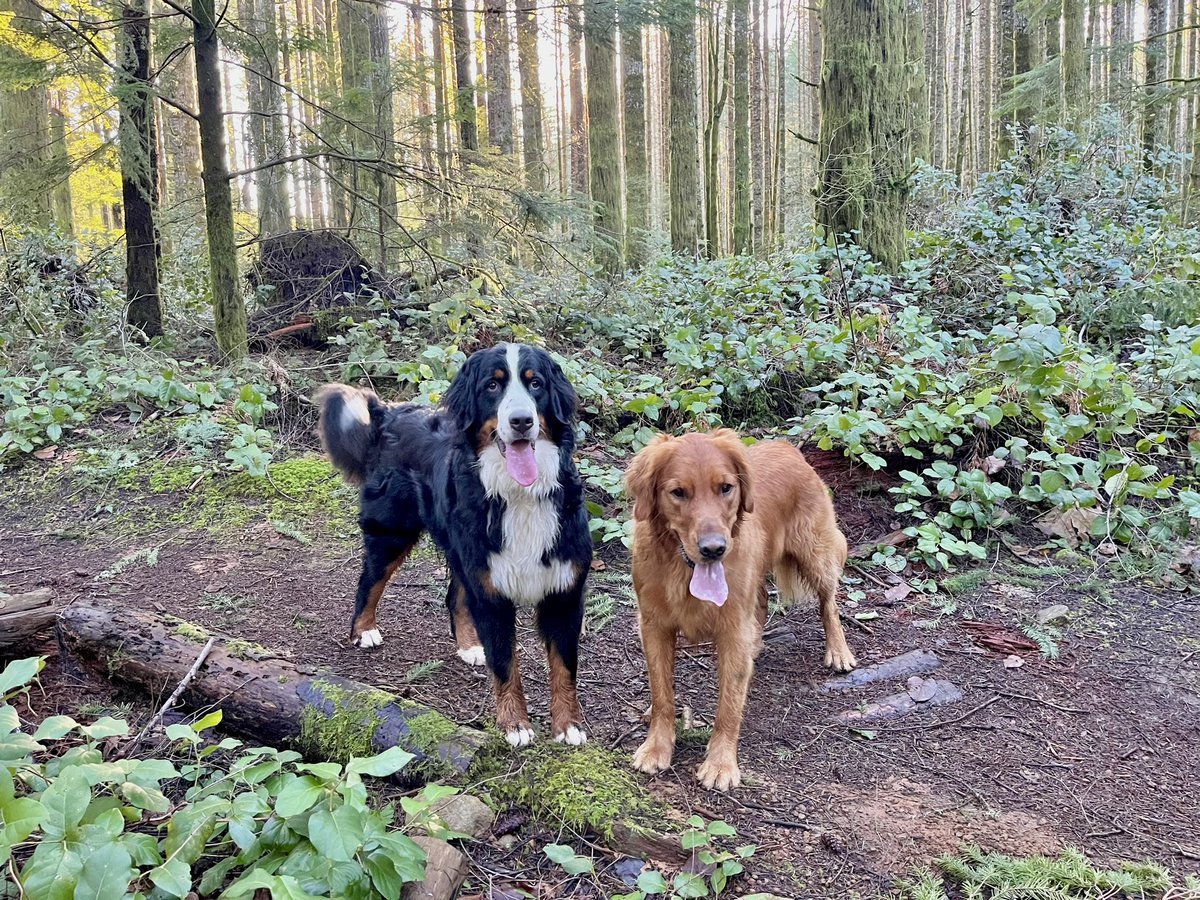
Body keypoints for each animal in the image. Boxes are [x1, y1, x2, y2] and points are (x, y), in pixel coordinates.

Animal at [309, 343, 590, 748]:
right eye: (492, 386)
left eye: (535, 383)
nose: (522, 420)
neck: (519, 495)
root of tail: (388, 413)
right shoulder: (492, 592)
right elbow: (505, 664)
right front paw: (516, 724)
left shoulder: (563, 591)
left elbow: (565, 667)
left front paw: (569, 725)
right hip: (393, 530)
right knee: (369, 580)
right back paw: (364, 630)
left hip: (465, 553)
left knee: (454, 596)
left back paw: (469, 646)